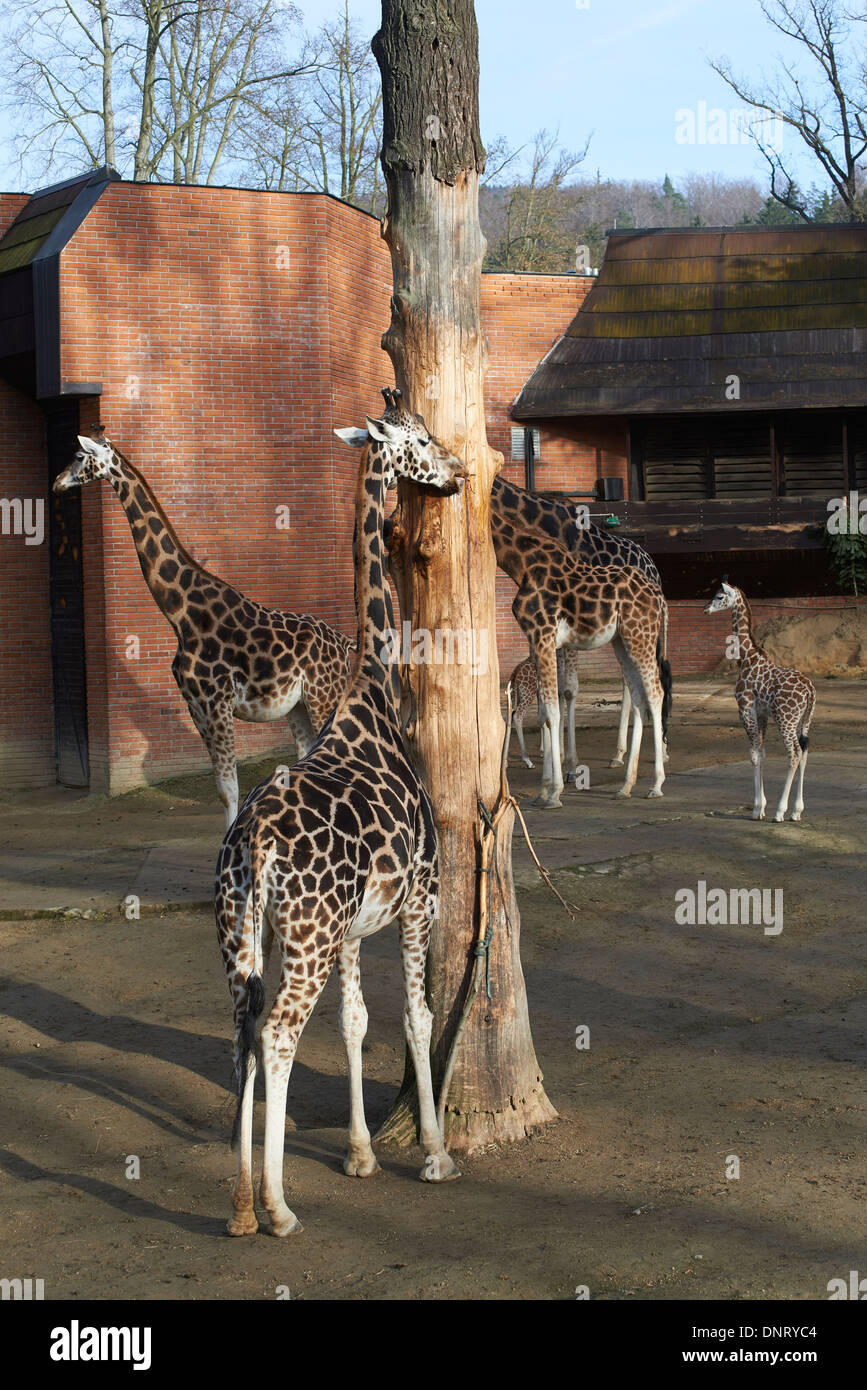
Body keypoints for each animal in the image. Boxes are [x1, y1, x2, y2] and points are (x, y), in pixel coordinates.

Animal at [52, 430, 352, 822]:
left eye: (77, 456)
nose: (57, 483)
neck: (180, 614)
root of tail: (345, 643)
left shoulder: (216, 702)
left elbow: (230, 788)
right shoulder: (195, 705)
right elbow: (223, 790)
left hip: (324, 695)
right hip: (299, 706)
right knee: (308, 761)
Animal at [215, 397, 466, 1234]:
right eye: (419, 439)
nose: (457, 471)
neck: (375, 692)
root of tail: (254, 847)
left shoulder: (359, 922)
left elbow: (356, 1022)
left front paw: (359, 1153)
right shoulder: (421, 896)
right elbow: (417, 1016)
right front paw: (434, 1154)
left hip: (247, 933)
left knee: (245, 1029)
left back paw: (242, 1207)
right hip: (307, 936)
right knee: (279, 1034)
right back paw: (279, 1207)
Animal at [700, 578, 816, 817]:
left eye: (719, 596)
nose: (705, 609)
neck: (746, 658)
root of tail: (810, 690)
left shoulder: (745, 708)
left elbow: (753, 755)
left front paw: (757, 808)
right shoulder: (762, 713)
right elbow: (761, 753)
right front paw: (761, 805)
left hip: (785, 719)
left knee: (794, 753)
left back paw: (780, 812)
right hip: (804, 719)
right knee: (804, 751)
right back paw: (796, 811)